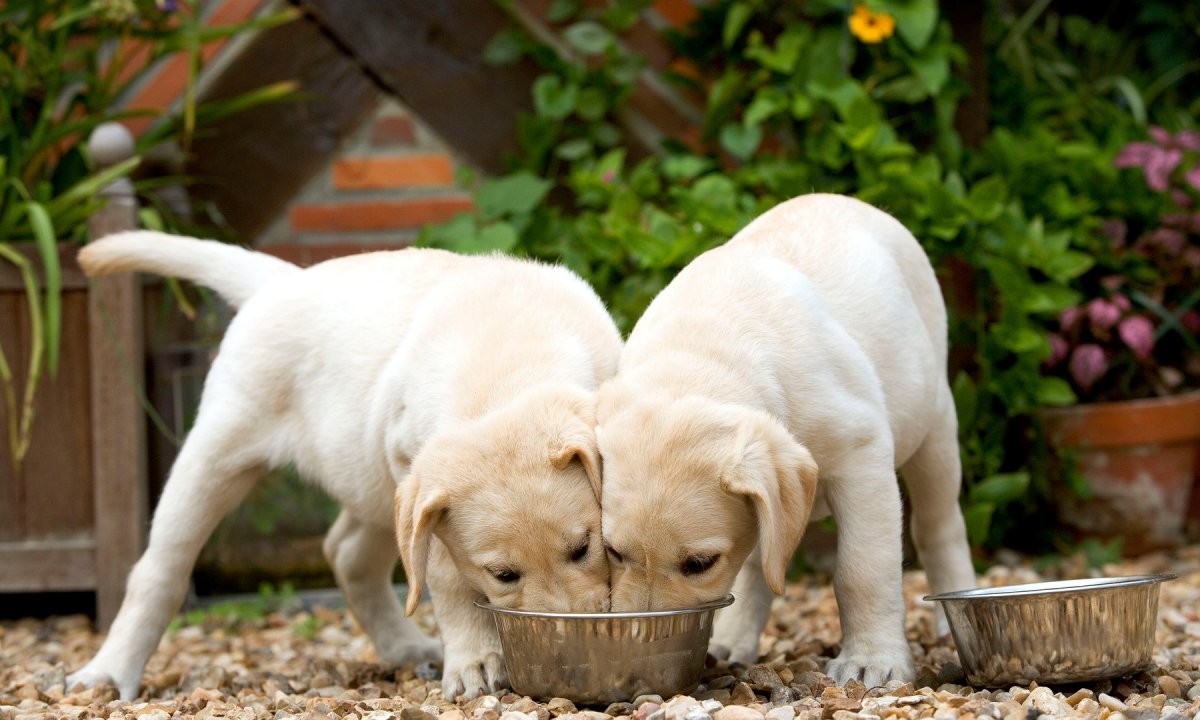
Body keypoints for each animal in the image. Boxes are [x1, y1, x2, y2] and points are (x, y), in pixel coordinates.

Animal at [65, 229, 619, 696]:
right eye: (504, 575)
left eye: (583, 548)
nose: (567, 649)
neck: (508, 368)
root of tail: (281, 280)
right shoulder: (417, 480)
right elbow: (446, 577)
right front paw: (476, 660)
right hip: (218, 452)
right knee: (159, 569)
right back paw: (108, 671)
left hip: (372, 482)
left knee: (347, 552)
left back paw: (402, 645)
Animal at [595, 193, 979, 686]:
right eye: (613, 552)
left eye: (699, 564)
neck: (701, 355)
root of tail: (843, 199)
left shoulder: (862, 453)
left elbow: (863, 568)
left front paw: (872, 660)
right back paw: (733, 639)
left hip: (934, 427)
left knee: (939, 525)